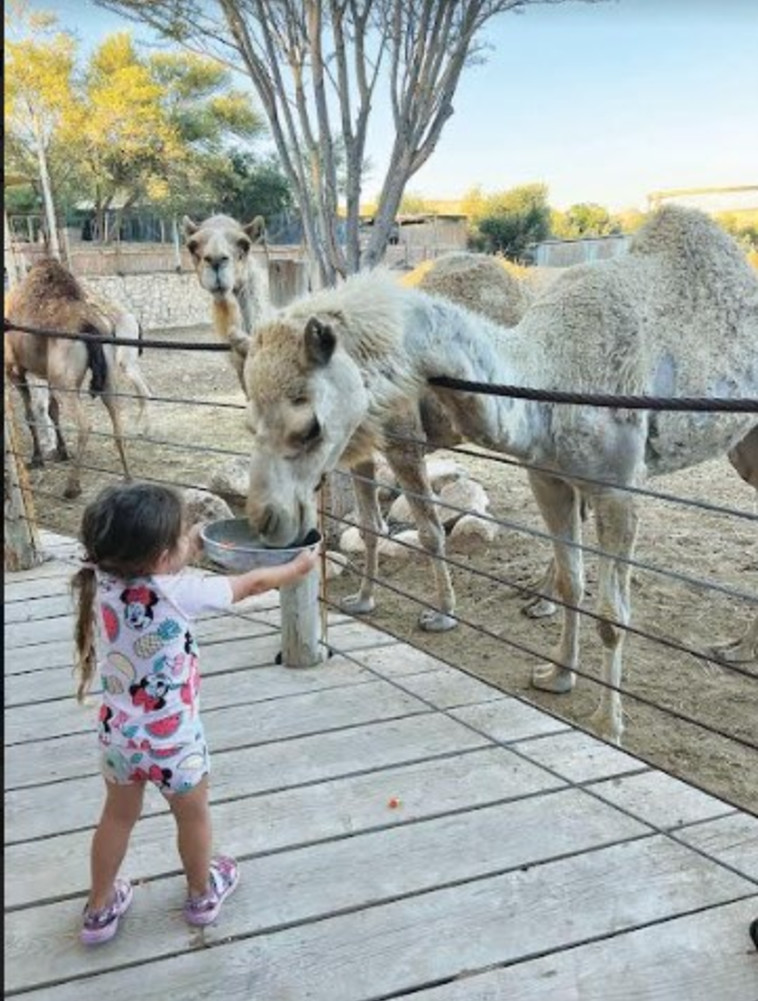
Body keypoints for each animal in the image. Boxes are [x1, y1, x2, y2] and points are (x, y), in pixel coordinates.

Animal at [242, 207, 756, 744]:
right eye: (250, 418)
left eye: (308, 426)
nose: (267, 518)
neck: (550, 371)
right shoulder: (547, 476)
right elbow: (574, 584)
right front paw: (557, 676)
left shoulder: (617, 488)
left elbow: (614, 615)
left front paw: (608, 725)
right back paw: (736, 649)